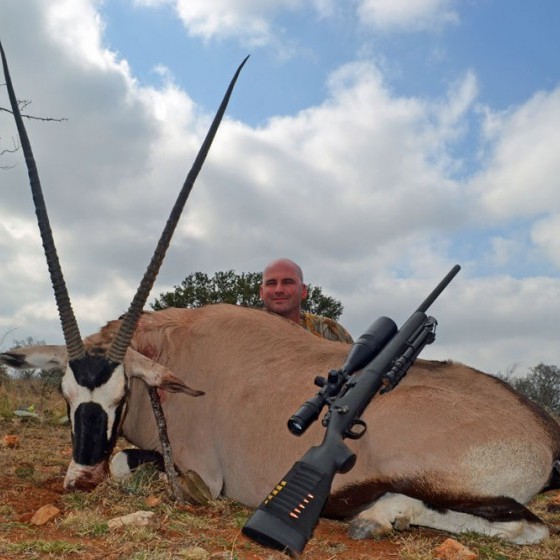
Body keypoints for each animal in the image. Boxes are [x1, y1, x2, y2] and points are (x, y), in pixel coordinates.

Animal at [2, 40, 560, 547]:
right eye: (65, 394)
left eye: (120, 396)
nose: (81, 479)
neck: (170, 348)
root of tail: (542, 430)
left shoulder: (200, 471)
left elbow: (123, 460)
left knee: (526, 526)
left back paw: (377, 516)